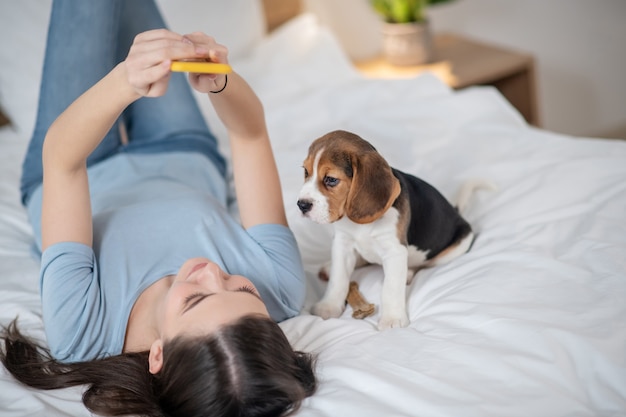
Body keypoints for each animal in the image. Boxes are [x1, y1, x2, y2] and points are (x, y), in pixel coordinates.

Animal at [296, 130, 472, 328]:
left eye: (331, 180)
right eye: (306, 172)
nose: (301, 205)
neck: (359, 224)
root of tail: (457, 213)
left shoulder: (394, 250)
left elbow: (391, 287)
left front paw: (392, 319)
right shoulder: (342, 244)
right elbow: (338, 278)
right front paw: (328, 306)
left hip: (458, 246)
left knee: (422, 264)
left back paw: (408, 273)